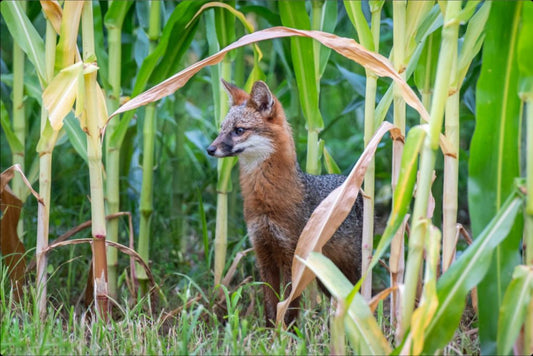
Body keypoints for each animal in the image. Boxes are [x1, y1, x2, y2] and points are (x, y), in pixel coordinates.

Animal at [206, 79, 364, 326]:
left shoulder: (292, 255)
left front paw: (287, 331)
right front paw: (271, 331)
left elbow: (290, 304)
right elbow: (271, 303)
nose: (210, 149)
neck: (264, 202)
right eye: (221, 129)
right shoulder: (263, 252)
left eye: (239, 130)